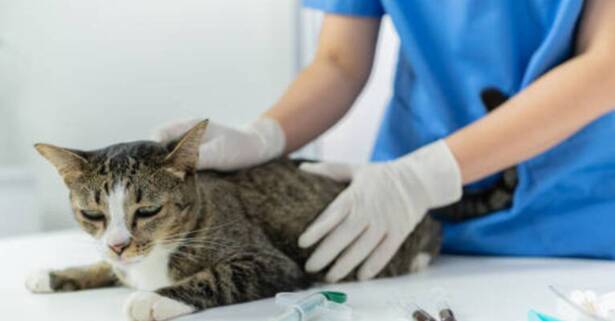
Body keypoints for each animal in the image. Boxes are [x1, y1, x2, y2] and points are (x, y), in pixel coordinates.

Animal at [25, 88, 516, 320]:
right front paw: (55, 273)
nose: (119, 243)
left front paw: (153, 299)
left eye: (148, 211)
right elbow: (105, 267)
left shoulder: (272, 263)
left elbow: (217, 277)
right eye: (92, 214)